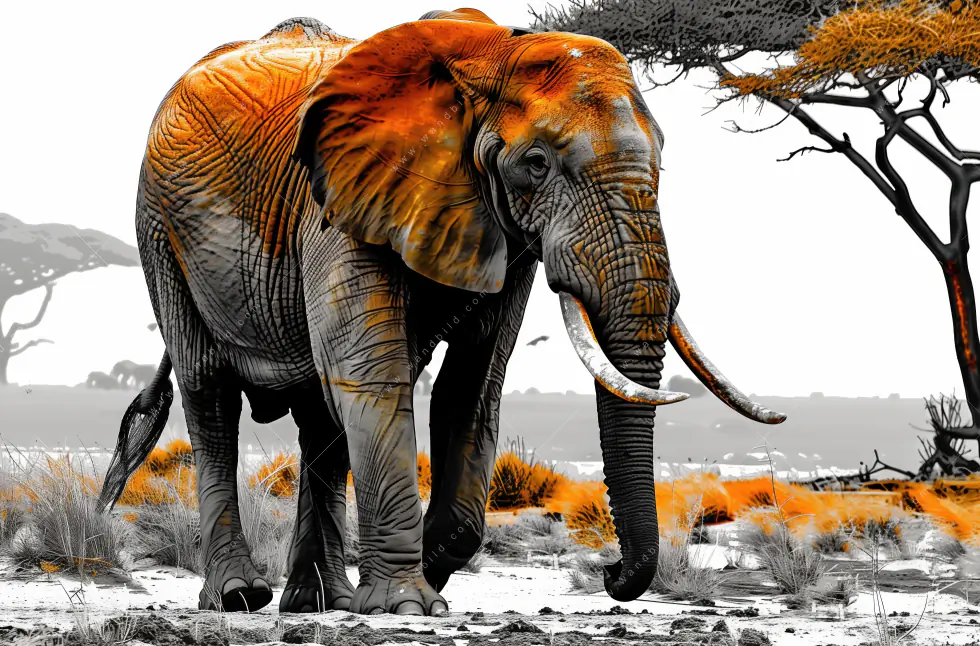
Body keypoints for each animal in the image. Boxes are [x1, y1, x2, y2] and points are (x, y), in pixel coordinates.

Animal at [98, 9, 784, 616]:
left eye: (662, 162)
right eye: (536, 164)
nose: (613, 572)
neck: (494, 53)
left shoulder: (500, 231)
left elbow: (472, 388)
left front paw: (420, 576)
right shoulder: (341, 201)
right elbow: (374, 379)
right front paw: (405, 602)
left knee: (321, 415)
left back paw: (321, 603)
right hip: (159, 231)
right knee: (210, 391)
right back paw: (239, 598)